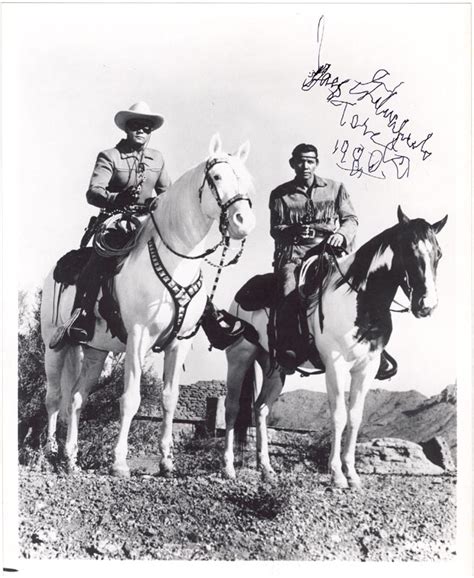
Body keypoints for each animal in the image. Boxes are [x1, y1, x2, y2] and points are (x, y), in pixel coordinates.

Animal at [40, 133, 256, 474]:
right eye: (217, 177)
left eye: (247, 180)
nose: (243, 222)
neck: (176, 261)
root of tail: (56, 270)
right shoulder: (138, 338)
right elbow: (130, 399)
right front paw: (119, 462)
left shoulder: (179, 343)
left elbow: (169, 400)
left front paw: (167, 462)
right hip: (54, 345)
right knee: (53, 396)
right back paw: (49, 452)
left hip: (95, 351)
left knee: (75, 398)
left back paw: (70, 457)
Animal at [224, 207, 446, 486]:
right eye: (408, 250)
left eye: (439, 254)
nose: (427, 305)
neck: (360, 302)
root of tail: (243, 292)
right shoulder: (335, 365)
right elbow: (339, 416)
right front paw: (337, 475)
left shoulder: (367, 368)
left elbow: (355, 417)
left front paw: (352, 474)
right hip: (239, 357)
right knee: (232, 408)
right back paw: (228, 468)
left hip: (274, 368)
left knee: (261, 409)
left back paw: (266, 468)